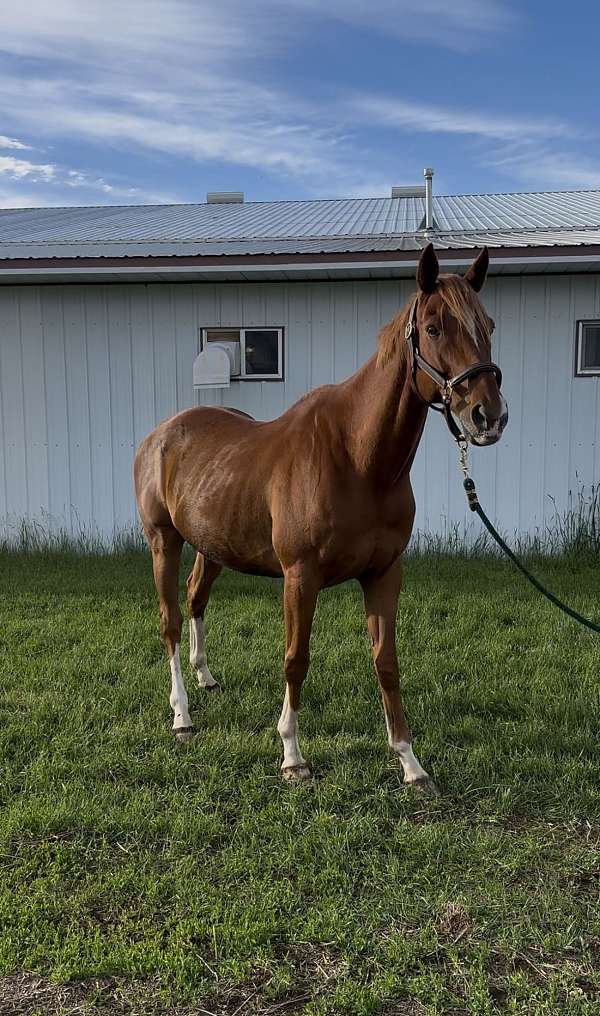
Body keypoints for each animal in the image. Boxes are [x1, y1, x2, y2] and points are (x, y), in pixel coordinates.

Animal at [134, 243, 507, 795]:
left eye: (488, 324)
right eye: (434, 327)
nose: (488, 416)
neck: (358, 459)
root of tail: (160, 435)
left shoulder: (384, 573)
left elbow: (386, 663)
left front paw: (410, 763)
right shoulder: (300, 577)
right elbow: (296, 659)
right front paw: (292, 756)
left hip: (209, 545)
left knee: (196, 599)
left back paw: (206, 679)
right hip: (164, 541)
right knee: (171, 621)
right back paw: (182, 716)